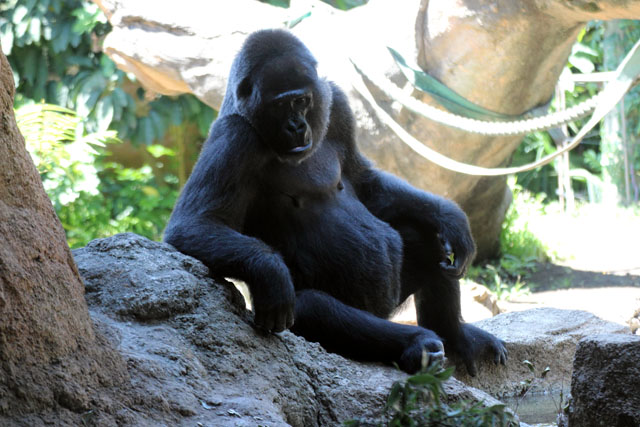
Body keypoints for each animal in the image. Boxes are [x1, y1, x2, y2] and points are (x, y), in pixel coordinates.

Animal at [165, 28, 504, 374]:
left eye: (302, 101)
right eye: (280, 105)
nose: (297, 126)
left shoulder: (336, 102)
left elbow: (365, 181)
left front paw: (449, 216)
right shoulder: (233, 136)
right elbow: (195, 224)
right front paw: (270, 272)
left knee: (427, 238)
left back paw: (454, 334)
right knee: (311, 306)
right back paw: (415, 344)